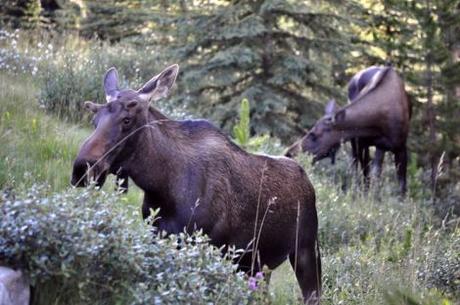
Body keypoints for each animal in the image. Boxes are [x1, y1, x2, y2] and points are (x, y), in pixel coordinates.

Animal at [72, 64, 322, 302]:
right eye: (95, 120)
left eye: (127, 119)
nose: (82, 169)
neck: (161, 187)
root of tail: (308, 182)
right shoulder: (158, 237)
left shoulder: (205, 246)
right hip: (257, 264)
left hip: (306, 249)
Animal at [286, 66, 412, 195]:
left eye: (314, 134)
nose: (289, 153)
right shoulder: (363, 142)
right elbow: (367, 174)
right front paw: (364, 195)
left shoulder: (400, 147)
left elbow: (402, 185)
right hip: (357, 142)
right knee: (358, 166)